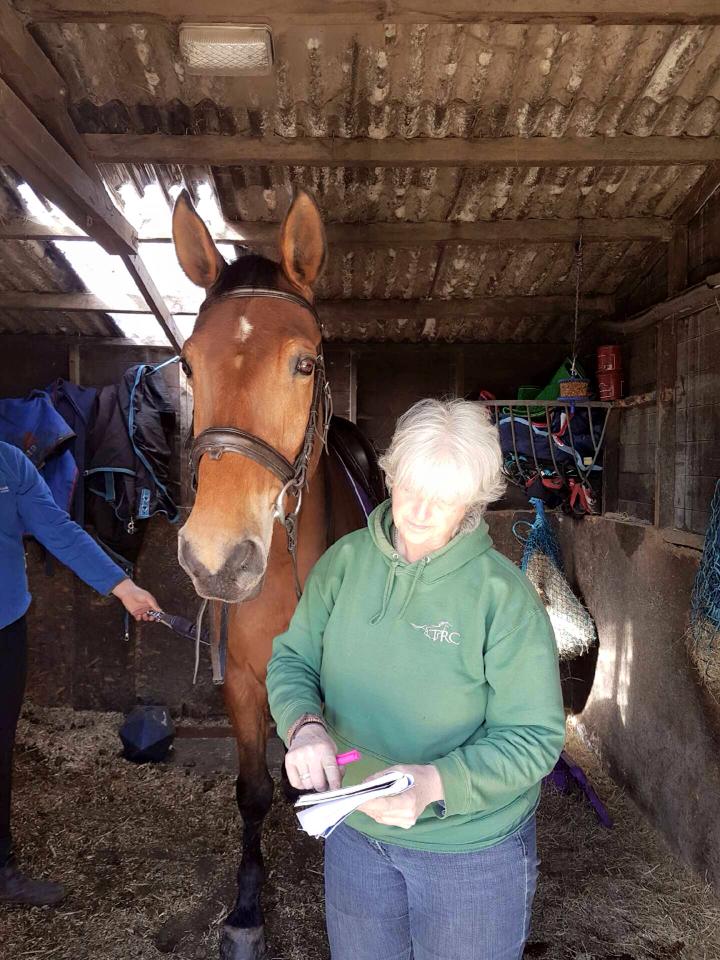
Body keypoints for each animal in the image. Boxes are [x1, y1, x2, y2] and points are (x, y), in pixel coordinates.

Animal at [171, 188, 371, 960]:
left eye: (305, 365)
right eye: (188, 365)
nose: (217, 557)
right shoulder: (243, 682)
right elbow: (251, 790)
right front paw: (247, 911)